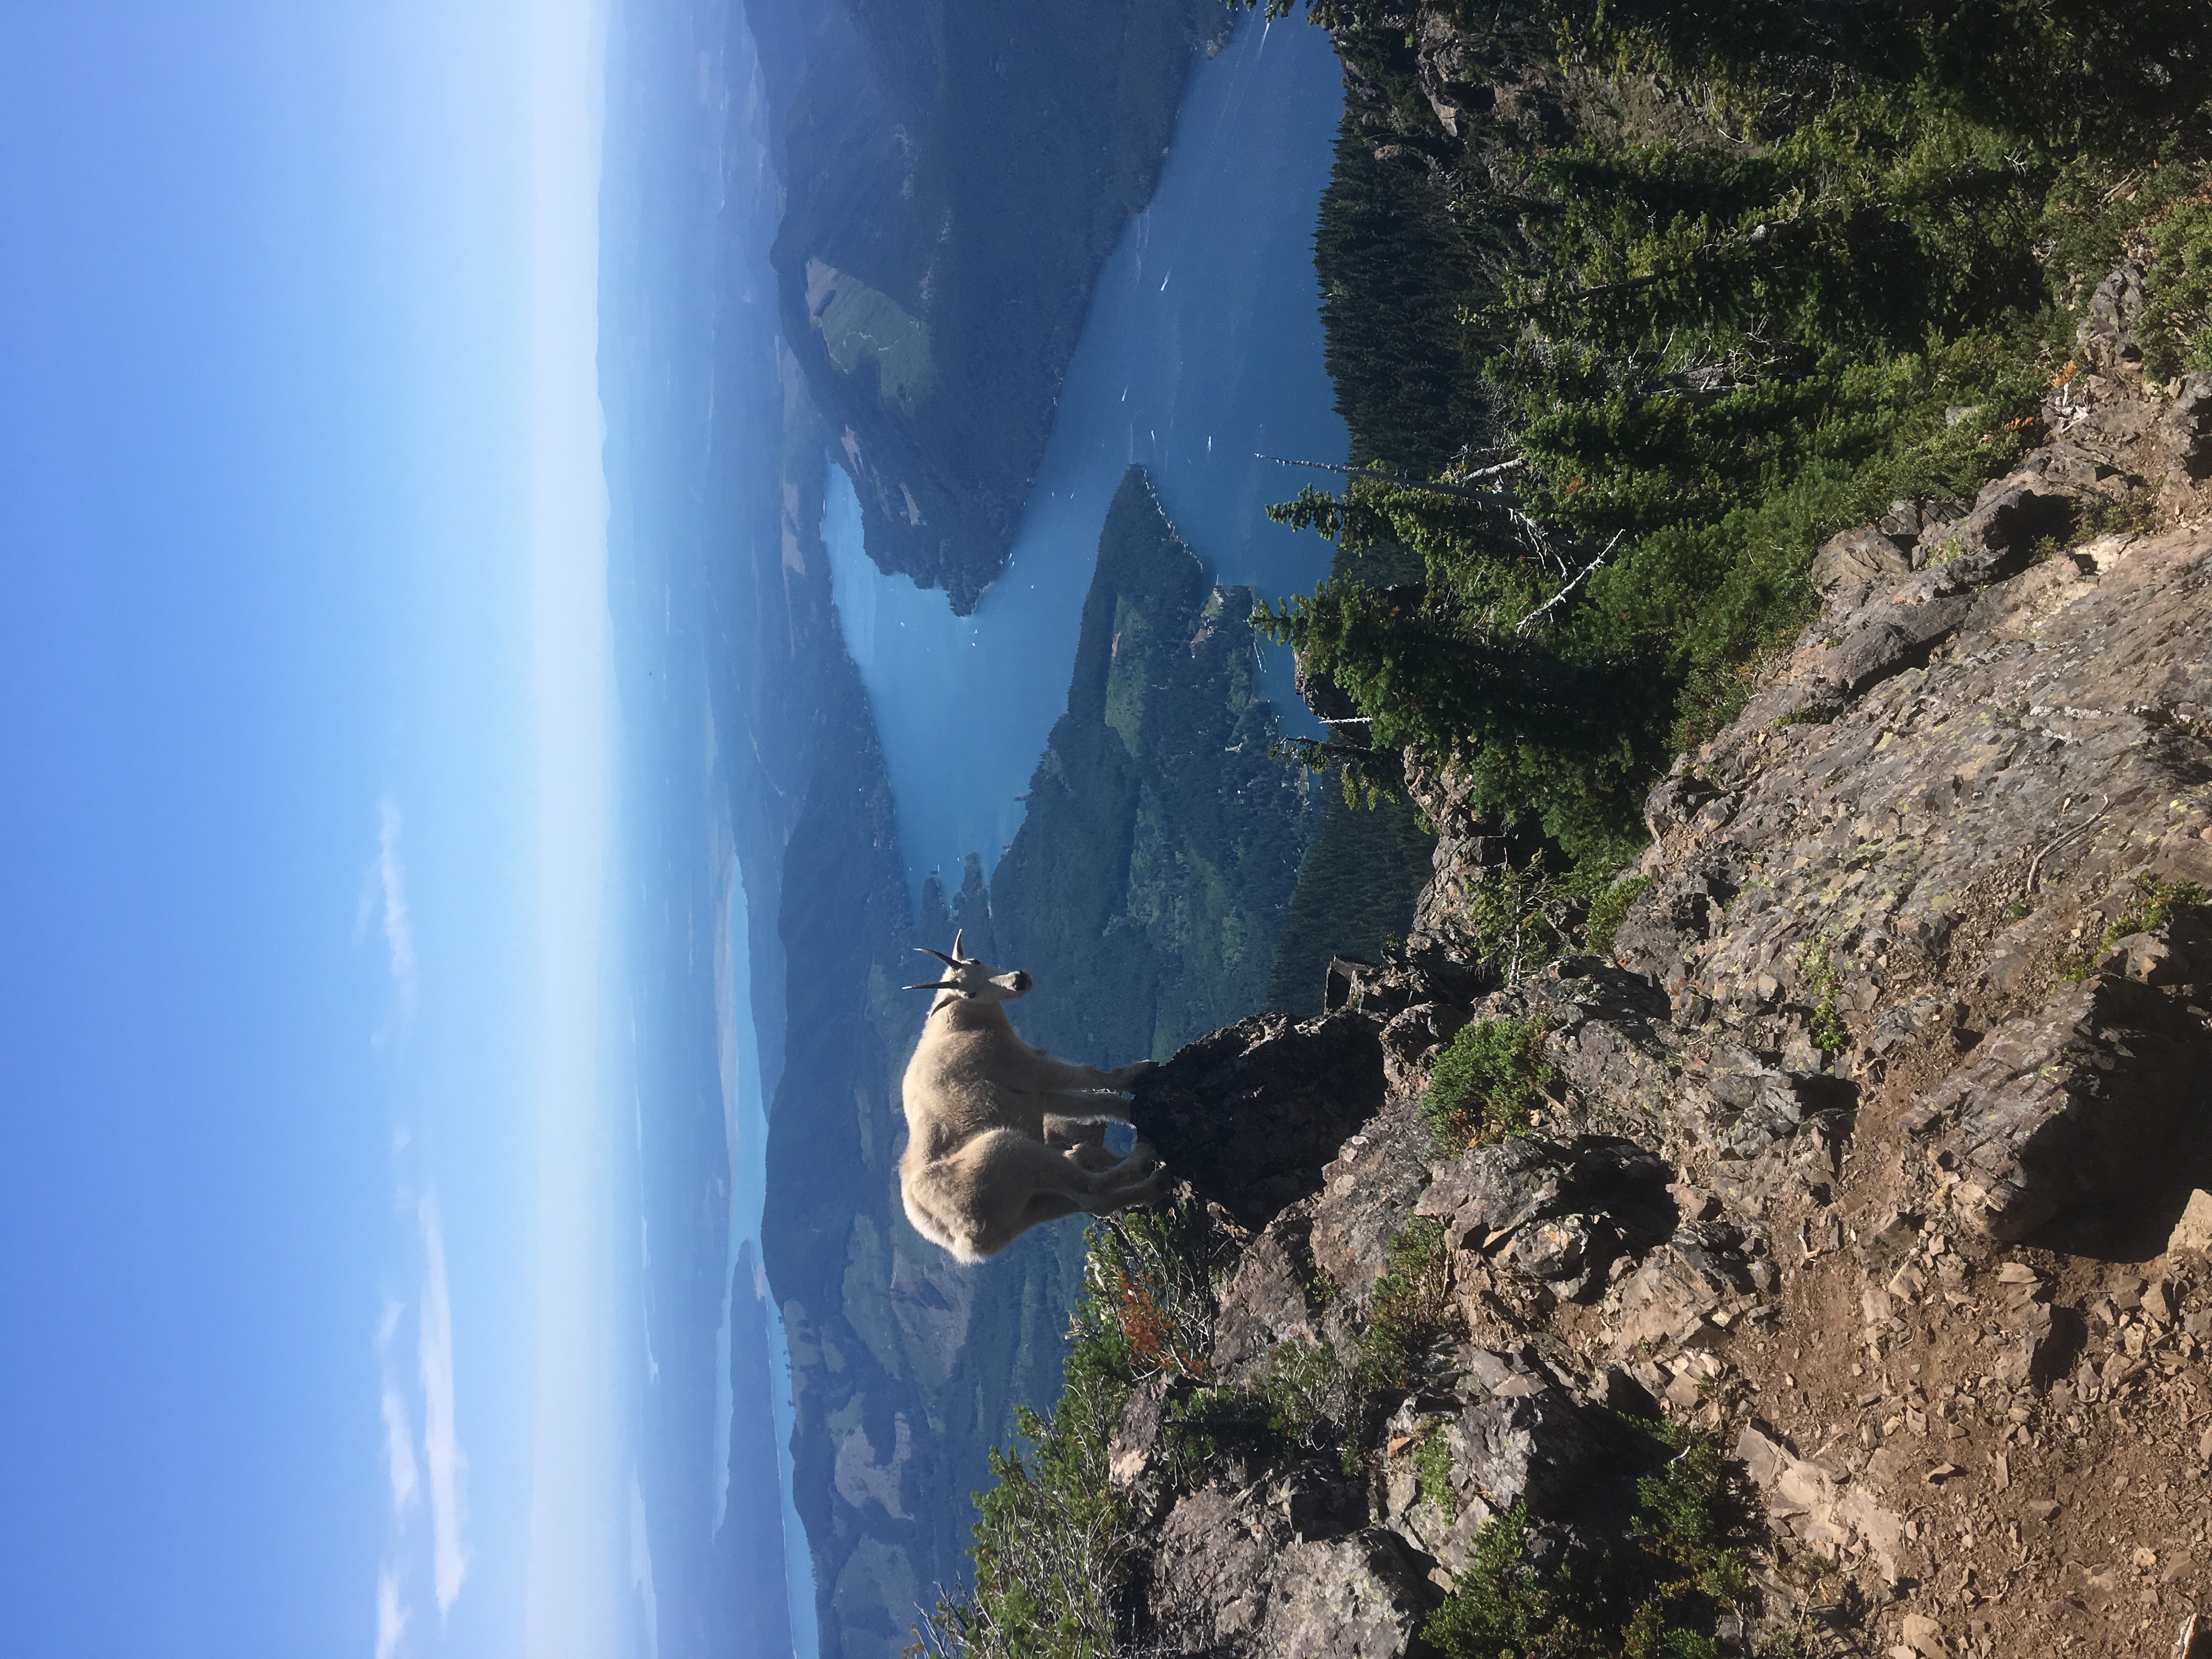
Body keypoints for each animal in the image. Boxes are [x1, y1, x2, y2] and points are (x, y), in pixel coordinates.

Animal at [899, 932, 1165, 1262]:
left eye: (976, 961)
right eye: (969, 994)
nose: (1019, 980)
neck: (959, 1027)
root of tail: (958, 1238)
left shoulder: (1036, 1095)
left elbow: (1097, 1104)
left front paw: (1133, 1108)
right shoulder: (1029, 1069)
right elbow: (1090, 1076)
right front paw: (1140, 1072)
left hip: (1029, 1207)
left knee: (1089, 1201)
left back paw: (1155, 1184)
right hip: (1007, 1154)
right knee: (1090, 1188)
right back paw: (1145, 1158)